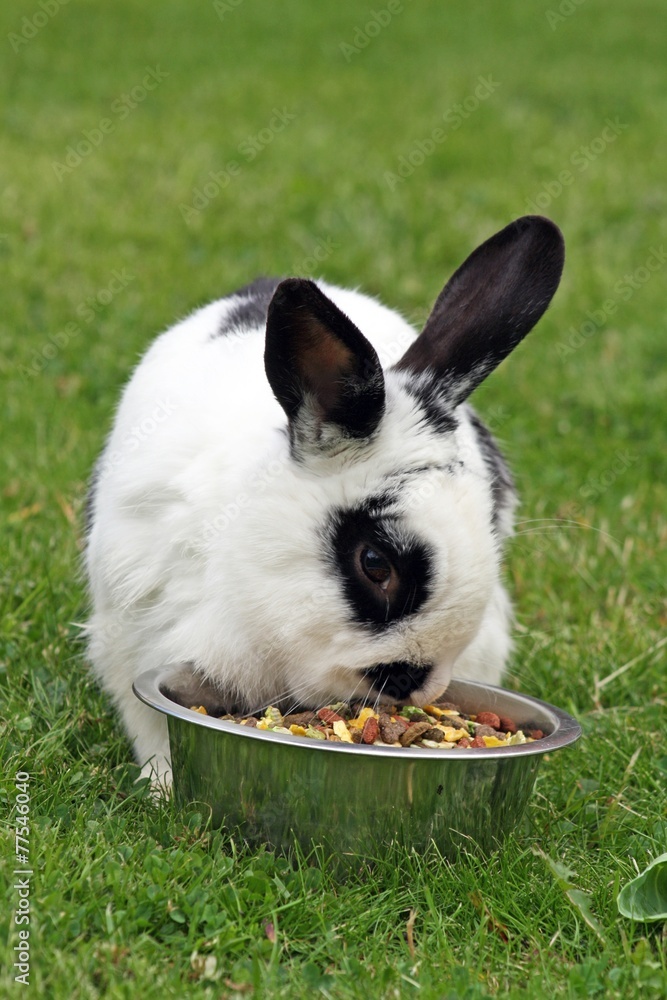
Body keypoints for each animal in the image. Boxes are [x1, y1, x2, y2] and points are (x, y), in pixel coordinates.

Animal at [83, 214, 564, 785]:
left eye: (488, 526)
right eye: (375, 563)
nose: (415, 682)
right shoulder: (133, 641)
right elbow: (152, 729)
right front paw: (161, 788)